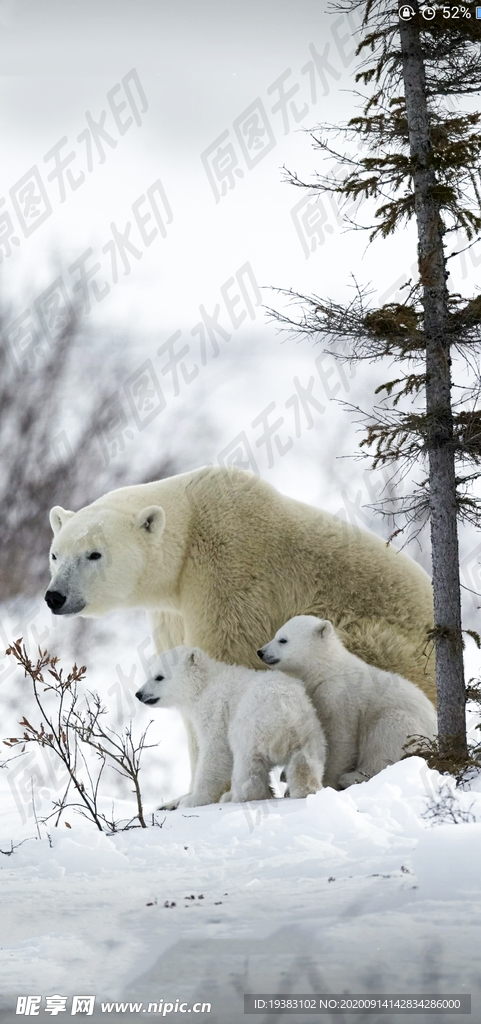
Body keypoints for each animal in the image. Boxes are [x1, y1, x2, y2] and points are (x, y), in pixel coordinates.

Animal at [46, 466, 435, 704]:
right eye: (55, 554)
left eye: (94, 554)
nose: (54, 596)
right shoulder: (171, 609)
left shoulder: (230, 569)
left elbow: (228, 656)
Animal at [134, 647, 327, 806]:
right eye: (150, 673)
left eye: (159, 677)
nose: (139, 694)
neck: (205, 683)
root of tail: (285, 710)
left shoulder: (215, 709)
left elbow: (215, 752)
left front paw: (192, 800)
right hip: (308, 730)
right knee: (305, 760)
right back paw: (306, 789)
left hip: (250, 726)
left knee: (246, 762)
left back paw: (236, 795)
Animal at [257, 614, 438, 790]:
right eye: (276, 635)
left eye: (283, 640)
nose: (260, 652)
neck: (325, 671)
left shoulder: (339, 696)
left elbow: (341, 739)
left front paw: (328, 781)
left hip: (408, 727)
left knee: (385, 737)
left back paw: (352, 778)